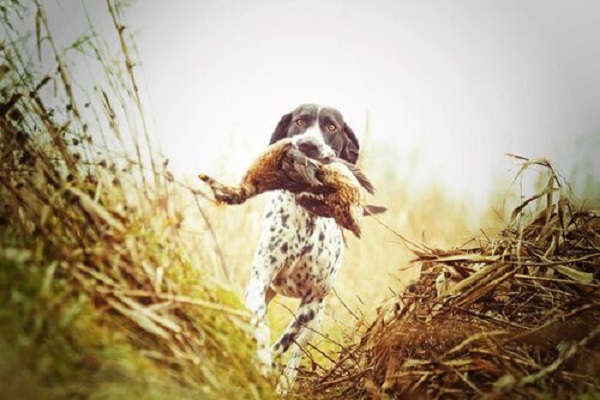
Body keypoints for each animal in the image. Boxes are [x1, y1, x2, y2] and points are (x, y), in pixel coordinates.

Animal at [245, 102, 360, 390]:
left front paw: (269, 365)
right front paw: (259, 355)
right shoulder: (260, 280)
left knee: (298, 351)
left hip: (317, 318)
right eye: (299, 121)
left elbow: (286, 342)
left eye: (331, 126)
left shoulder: (311, 303)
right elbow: (260, 323)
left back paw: (285, 383)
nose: (308, 145)